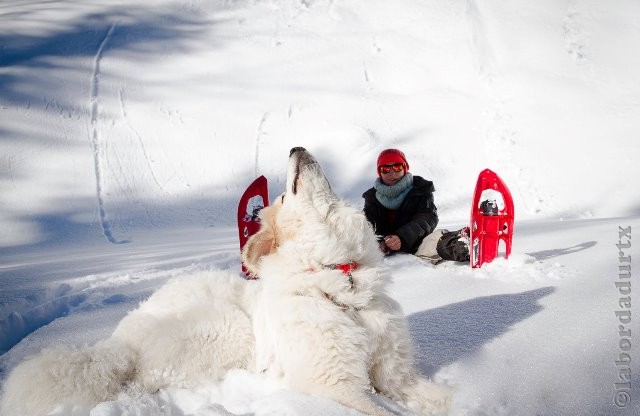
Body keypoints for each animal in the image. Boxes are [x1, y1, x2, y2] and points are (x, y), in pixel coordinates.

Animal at [0, 147, 450, 416]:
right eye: (283, 196)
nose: (295, 148)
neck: (341, 283)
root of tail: (119, 341)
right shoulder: (332, 385)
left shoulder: (396, 374)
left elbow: (440, 400)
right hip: (229, 329)